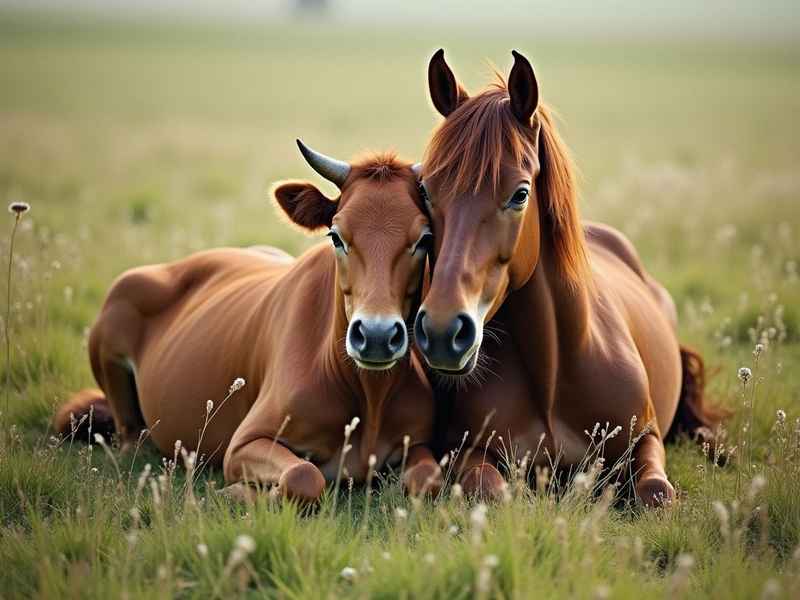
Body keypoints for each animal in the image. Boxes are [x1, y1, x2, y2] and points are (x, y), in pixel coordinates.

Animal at [54, 140, 443, 502]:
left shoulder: (418, 443)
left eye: (424, 239)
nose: (376, 335)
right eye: (336, 236)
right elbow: (304, 476)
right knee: (132, 440)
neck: (369, 394)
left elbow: (430, 479)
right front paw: (234, 493)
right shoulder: (244, 442)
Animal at [413, 50, 725, 506]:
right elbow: (491, 490)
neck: (555, 369)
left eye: (520, 194)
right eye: (425, 190)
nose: (440, 330)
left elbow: (656, 493)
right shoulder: (466, 449)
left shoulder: (646, 438)